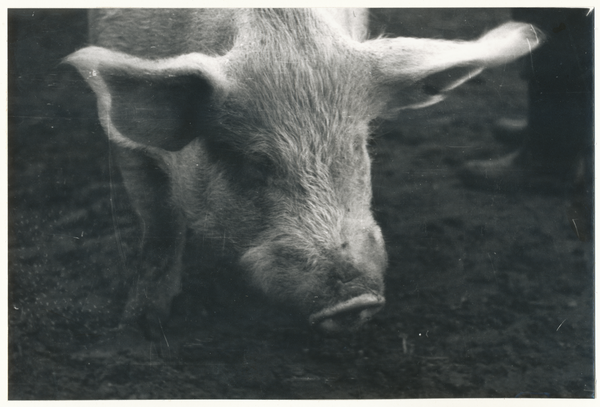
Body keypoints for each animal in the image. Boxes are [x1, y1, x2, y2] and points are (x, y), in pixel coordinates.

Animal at [67, 8, 544, 338]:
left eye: (357, 145)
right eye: (258, 161)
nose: (356, 299)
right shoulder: (125, 144)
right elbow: (161, 222)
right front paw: (140, 329)